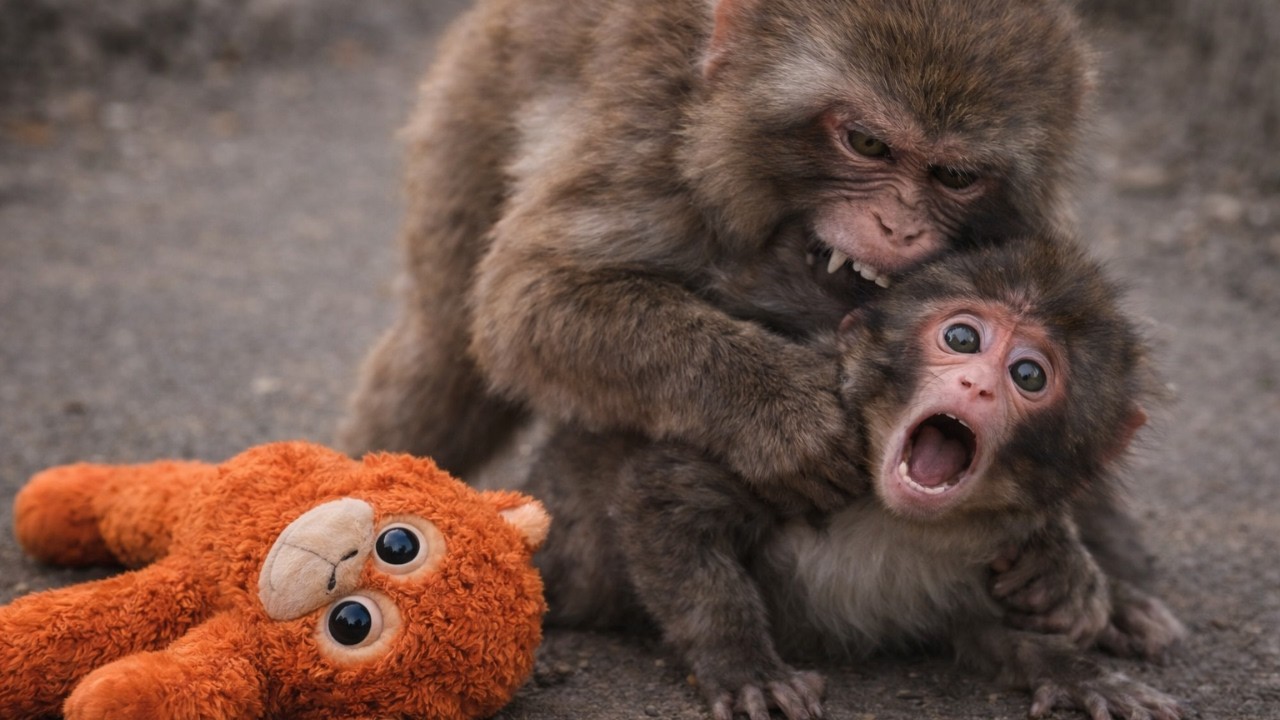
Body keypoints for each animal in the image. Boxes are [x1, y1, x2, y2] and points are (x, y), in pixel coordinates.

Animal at [491, 235, 1183, 720]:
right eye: (962, 337)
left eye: (1030, 375)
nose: (976, 385)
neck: (890, 513)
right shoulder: (809, 453)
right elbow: (660, 501)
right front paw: (743, 665)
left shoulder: (989, 547)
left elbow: (990, 630)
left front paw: (1077, 671)